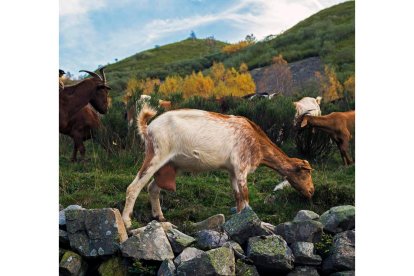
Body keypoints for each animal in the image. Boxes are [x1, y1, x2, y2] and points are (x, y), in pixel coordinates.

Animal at [121, 104, 316, 229]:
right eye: (305, 174)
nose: (311, 191)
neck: (256, 141)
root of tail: (148, 127)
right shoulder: (241, 168)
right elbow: (246, 198)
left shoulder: (232, 171)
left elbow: (238, 198)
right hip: (156, 155)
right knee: (134, 187)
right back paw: (127, 221)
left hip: (168, 166)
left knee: (152, 188)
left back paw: (160, 217)